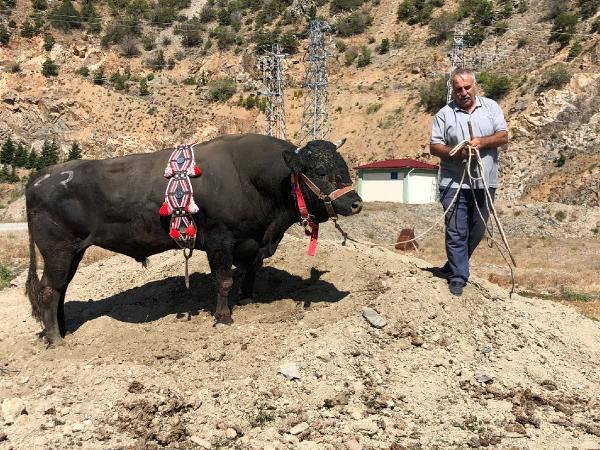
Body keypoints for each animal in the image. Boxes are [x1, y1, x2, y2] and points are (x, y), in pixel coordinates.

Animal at [24, 134, 360, 344]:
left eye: (343, 167)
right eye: (318, 171)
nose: (355, 202)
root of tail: (42, 175)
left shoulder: (252, 243)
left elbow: (250, 272)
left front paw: (248, 298)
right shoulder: (219, 240)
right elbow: (224, 280)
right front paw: (223, 317)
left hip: (73, 253)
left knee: (60, 290)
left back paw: (64, 330)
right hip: (58, 251)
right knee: (49, 290)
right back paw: (56, 338)